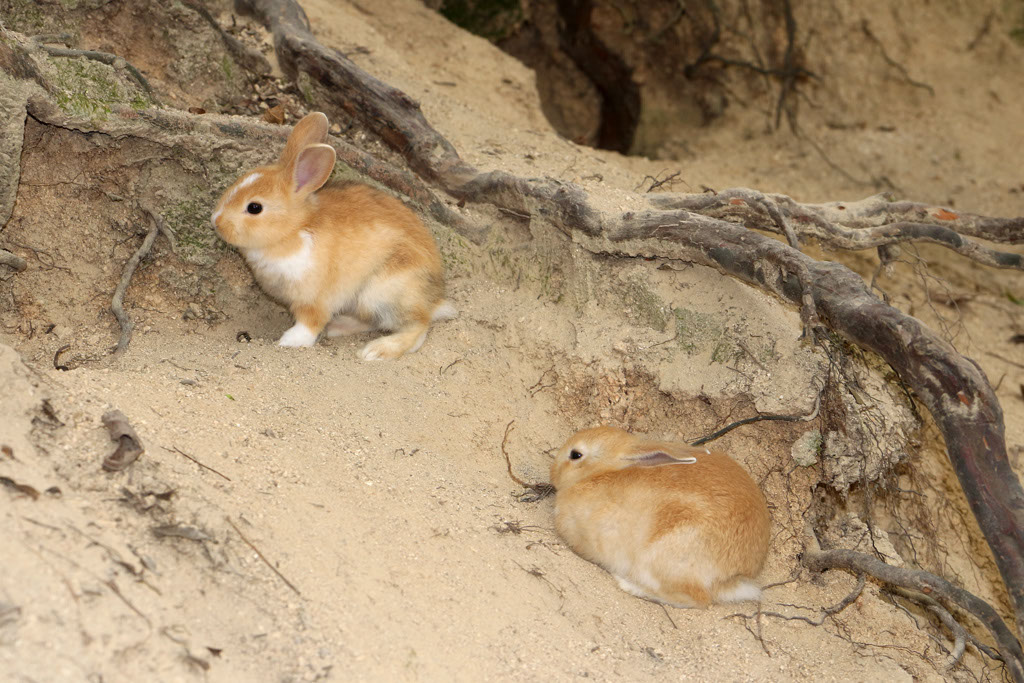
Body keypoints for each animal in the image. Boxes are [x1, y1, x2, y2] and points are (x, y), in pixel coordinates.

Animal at [210, 111, 455, 360]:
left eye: (254, 208)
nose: (216, 221)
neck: (296, 228)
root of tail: (434, 299)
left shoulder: (314, 299)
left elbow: (310, 322)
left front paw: (289, 341)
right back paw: (339, 327)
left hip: (383, 293)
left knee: (418, 327)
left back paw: (376, 351)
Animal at [549, 425, 771, 608]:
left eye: (576, 454)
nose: (552, 474)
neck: (597, 476)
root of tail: (735, 577)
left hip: (662, 558)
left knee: (696, 599)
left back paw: (628, 585)